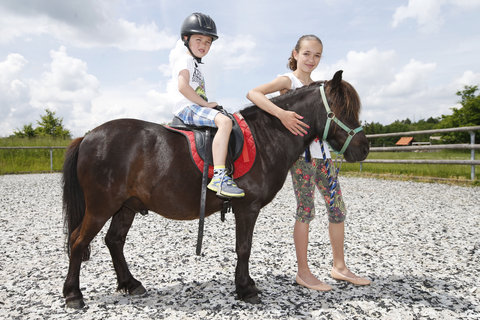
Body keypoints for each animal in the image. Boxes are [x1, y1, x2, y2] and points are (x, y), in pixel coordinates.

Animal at [62, 70, 370, 308]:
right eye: (342, 110)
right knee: (78, 241)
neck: (267, 136)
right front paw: (246, 289)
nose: (364, 148)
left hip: (126, 206)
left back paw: (130, 283)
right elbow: (244, 247)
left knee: (114, 241)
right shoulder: (247, 208)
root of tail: (87, 137)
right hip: (101, 207)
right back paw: (73, 295)